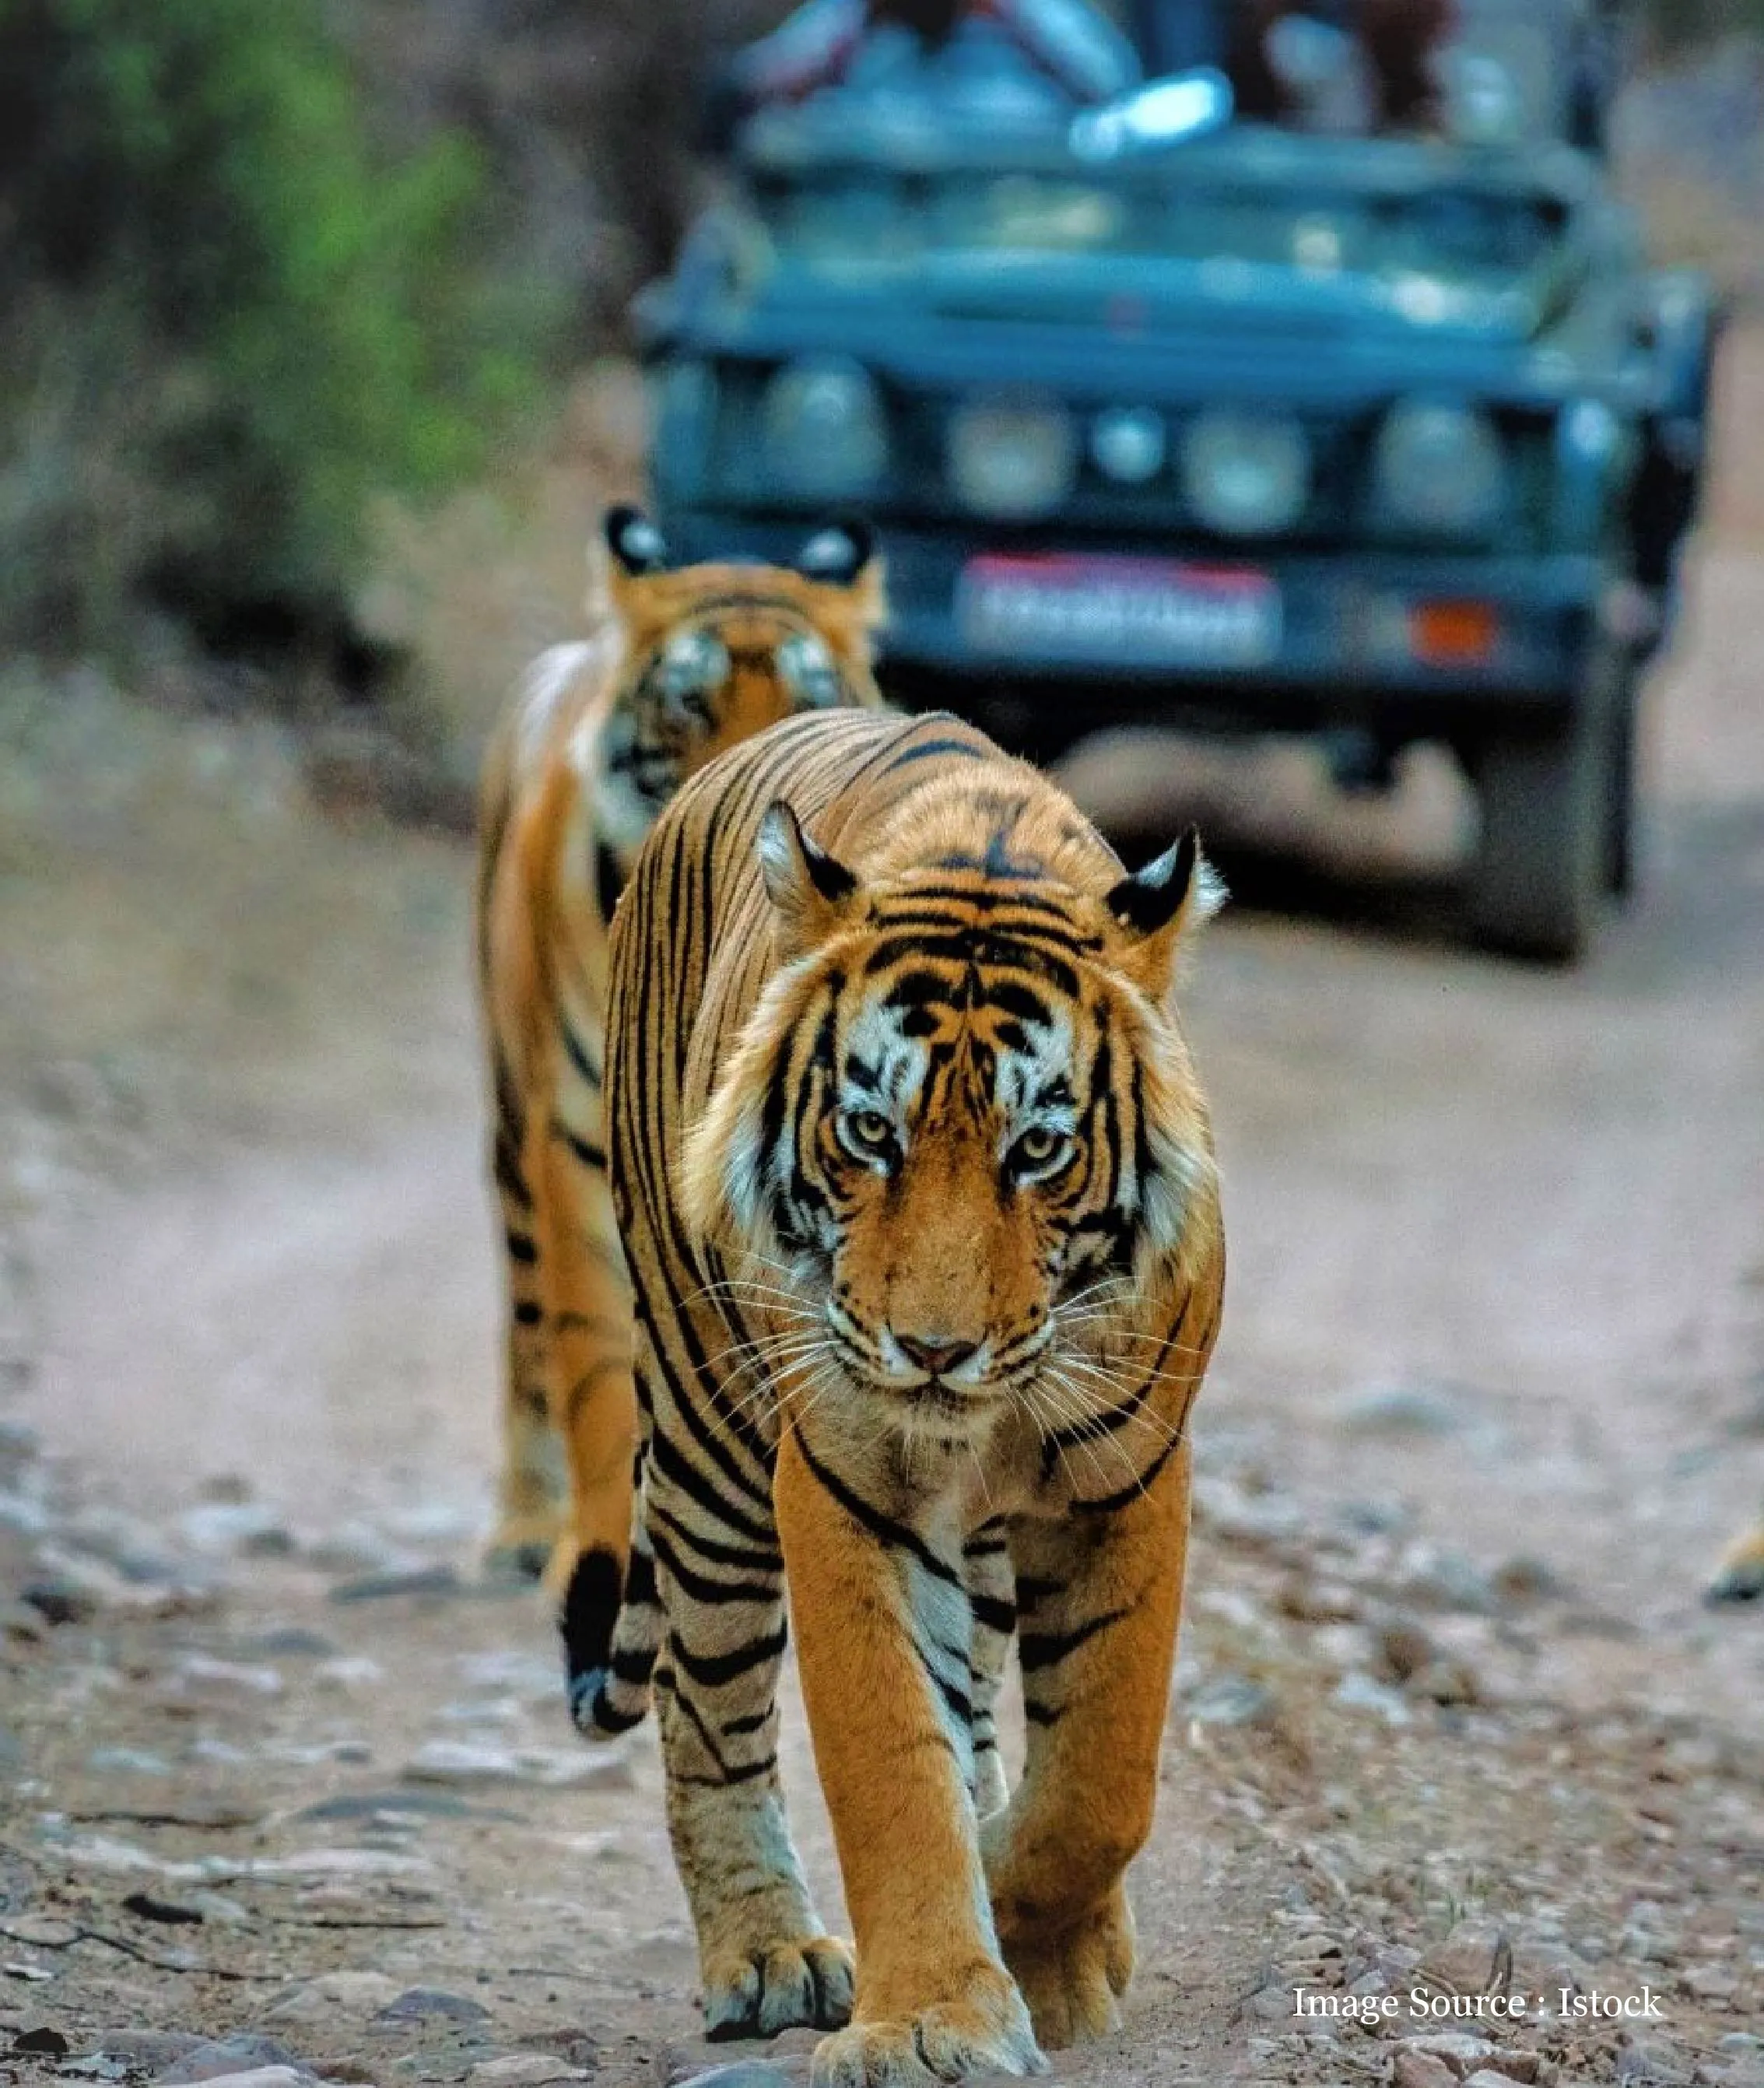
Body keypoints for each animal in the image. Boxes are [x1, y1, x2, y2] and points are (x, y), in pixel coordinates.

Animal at [476, 506, 886, 1588]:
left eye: (808, 700)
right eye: (691, 704)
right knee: (526, 1326)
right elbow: (594, 1369)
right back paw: (522, 1526)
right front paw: (595, 1546)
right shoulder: (578, 1144)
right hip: (511, 1124)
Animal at [568, 704, 1226, 2085]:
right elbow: (892, 1764)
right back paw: (766, 1956)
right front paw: (932, 2015)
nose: (931, 1349)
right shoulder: (845, 1481)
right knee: (707, 1712)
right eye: (870, 1131)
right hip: (706, 1440)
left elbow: (1102, 1775)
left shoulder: (1134, 1471)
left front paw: (1049, 1939)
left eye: (1039, 1147)